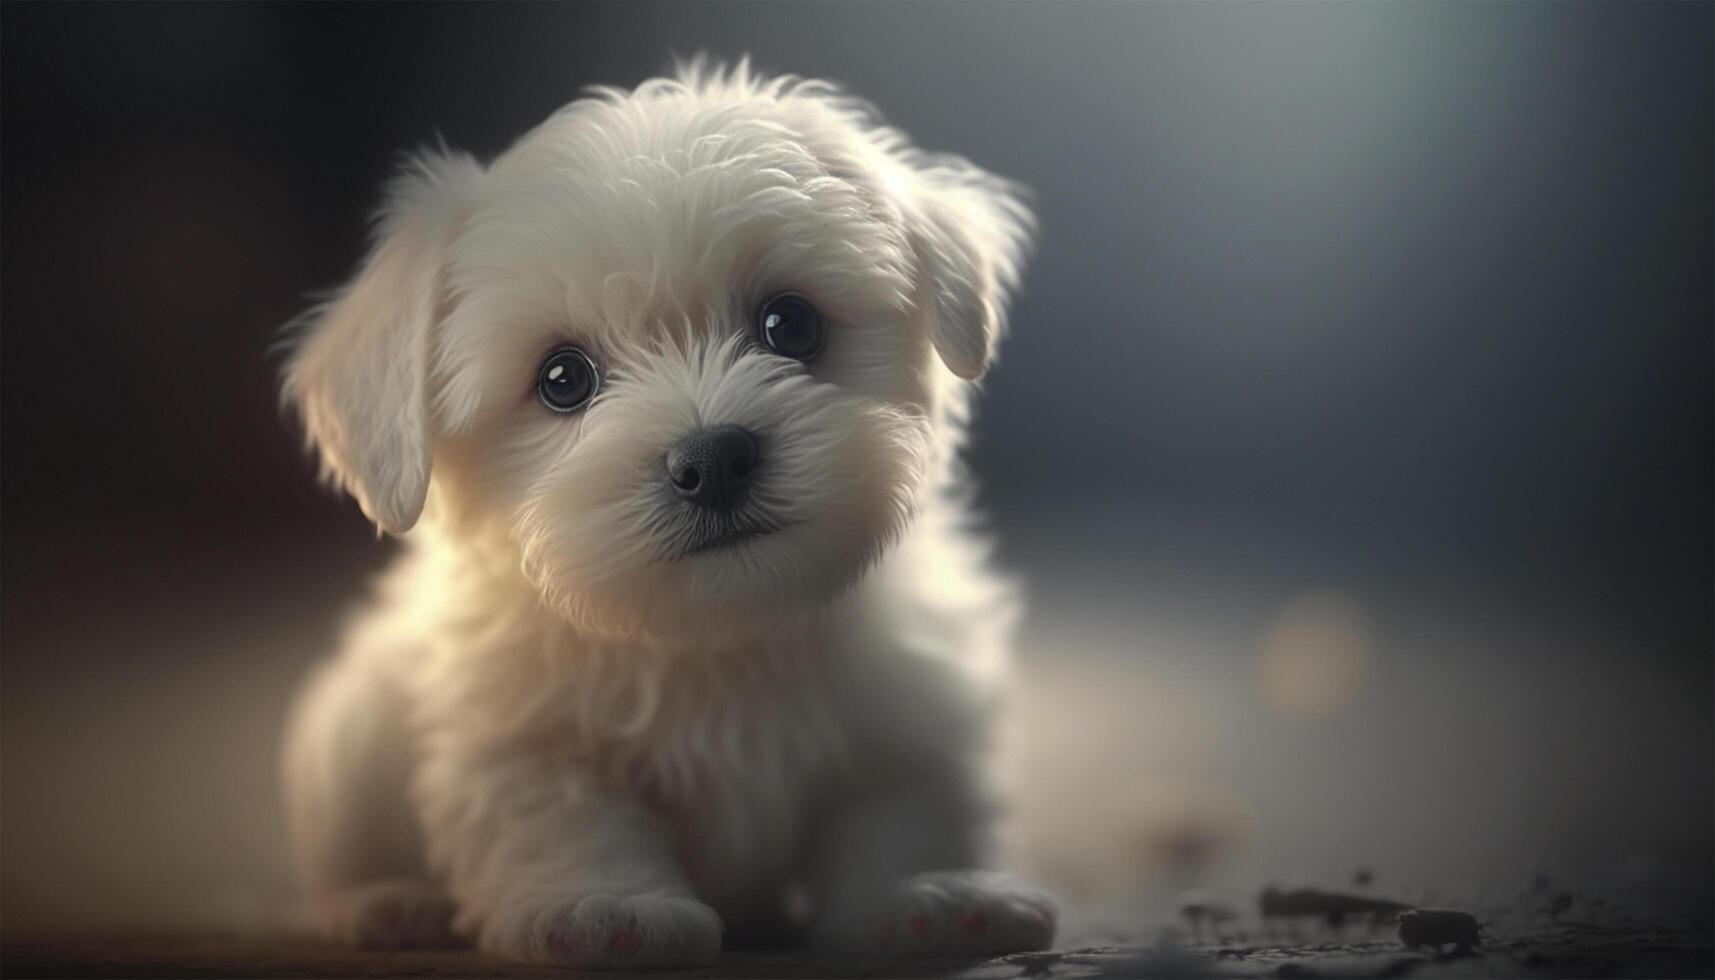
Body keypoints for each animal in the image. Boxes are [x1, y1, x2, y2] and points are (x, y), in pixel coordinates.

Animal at [281, 61, 1042, 974]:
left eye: (789, 324)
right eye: (562, 378)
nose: (712, 459)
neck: (712, 638)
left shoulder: (908, 709)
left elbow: (902, 807)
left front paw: (927, 896)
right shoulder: (520, 740)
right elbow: (570, 819)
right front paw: (607, 909)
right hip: (345, 746)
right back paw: (386, 903)